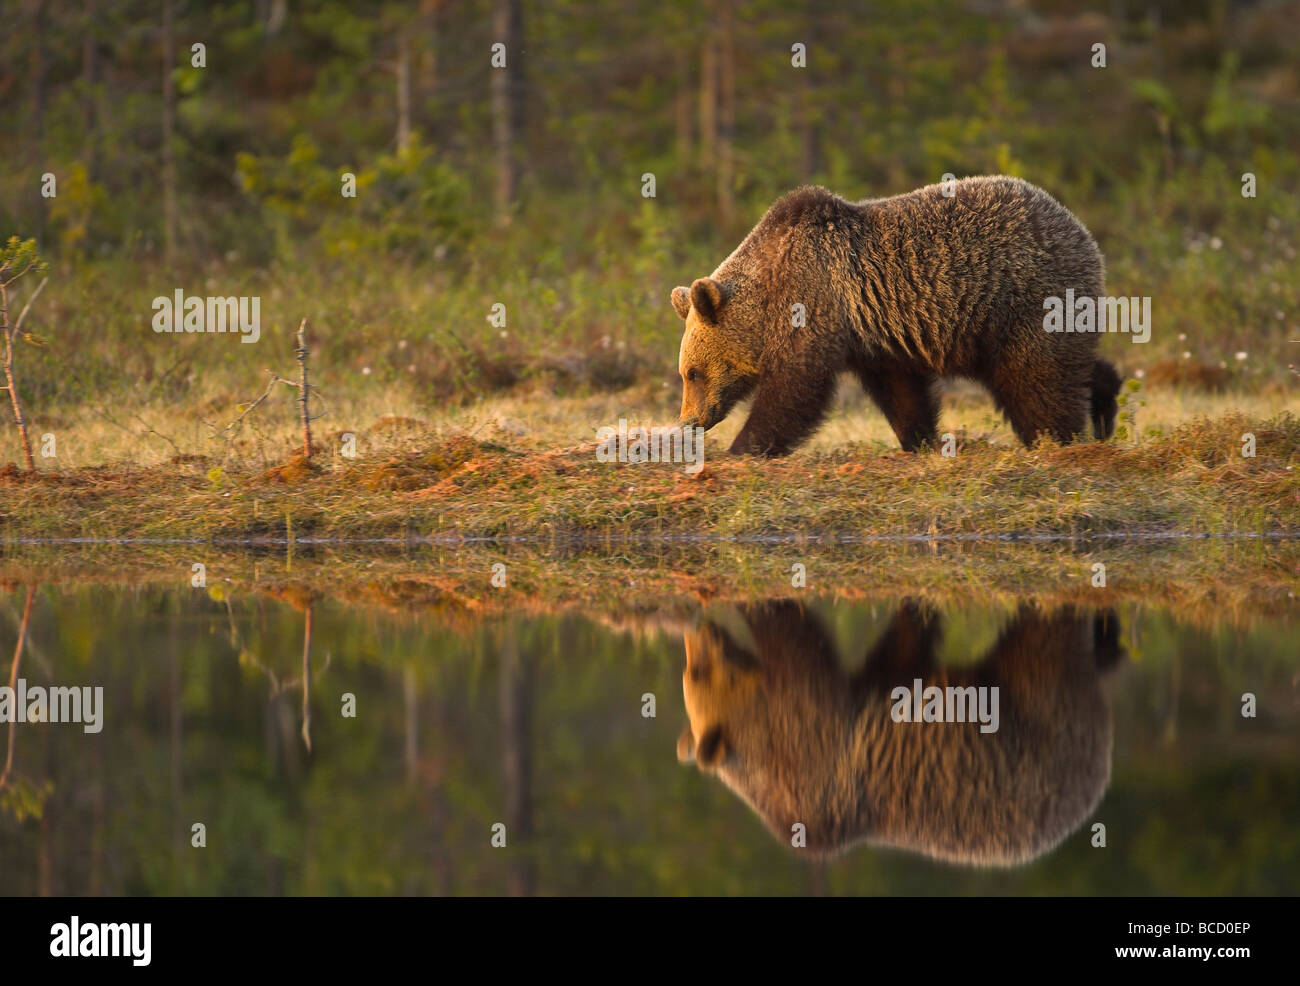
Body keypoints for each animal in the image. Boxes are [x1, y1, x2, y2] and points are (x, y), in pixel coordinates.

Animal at [671, 176, 1124, 455]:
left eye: (693, 372)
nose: (689, 421)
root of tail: (1080, 230)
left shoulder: (812, 299)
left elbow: (795, 388)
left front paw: (742, 448)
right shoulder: (873, 334)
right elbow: (901, 392)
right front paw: (920, 440)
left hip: (1023, 300)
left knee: (1036, 378)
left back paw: (1055, 439)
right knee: (1062, 365)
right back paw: (1104, 405)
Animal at [676, 599, 1123, 863]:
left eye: (695, 671)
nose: (696, 633)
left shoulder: (809, 745)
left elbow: (797, 645)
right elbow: (901, 652)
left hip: (1043, 724)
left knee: (1046, 638)